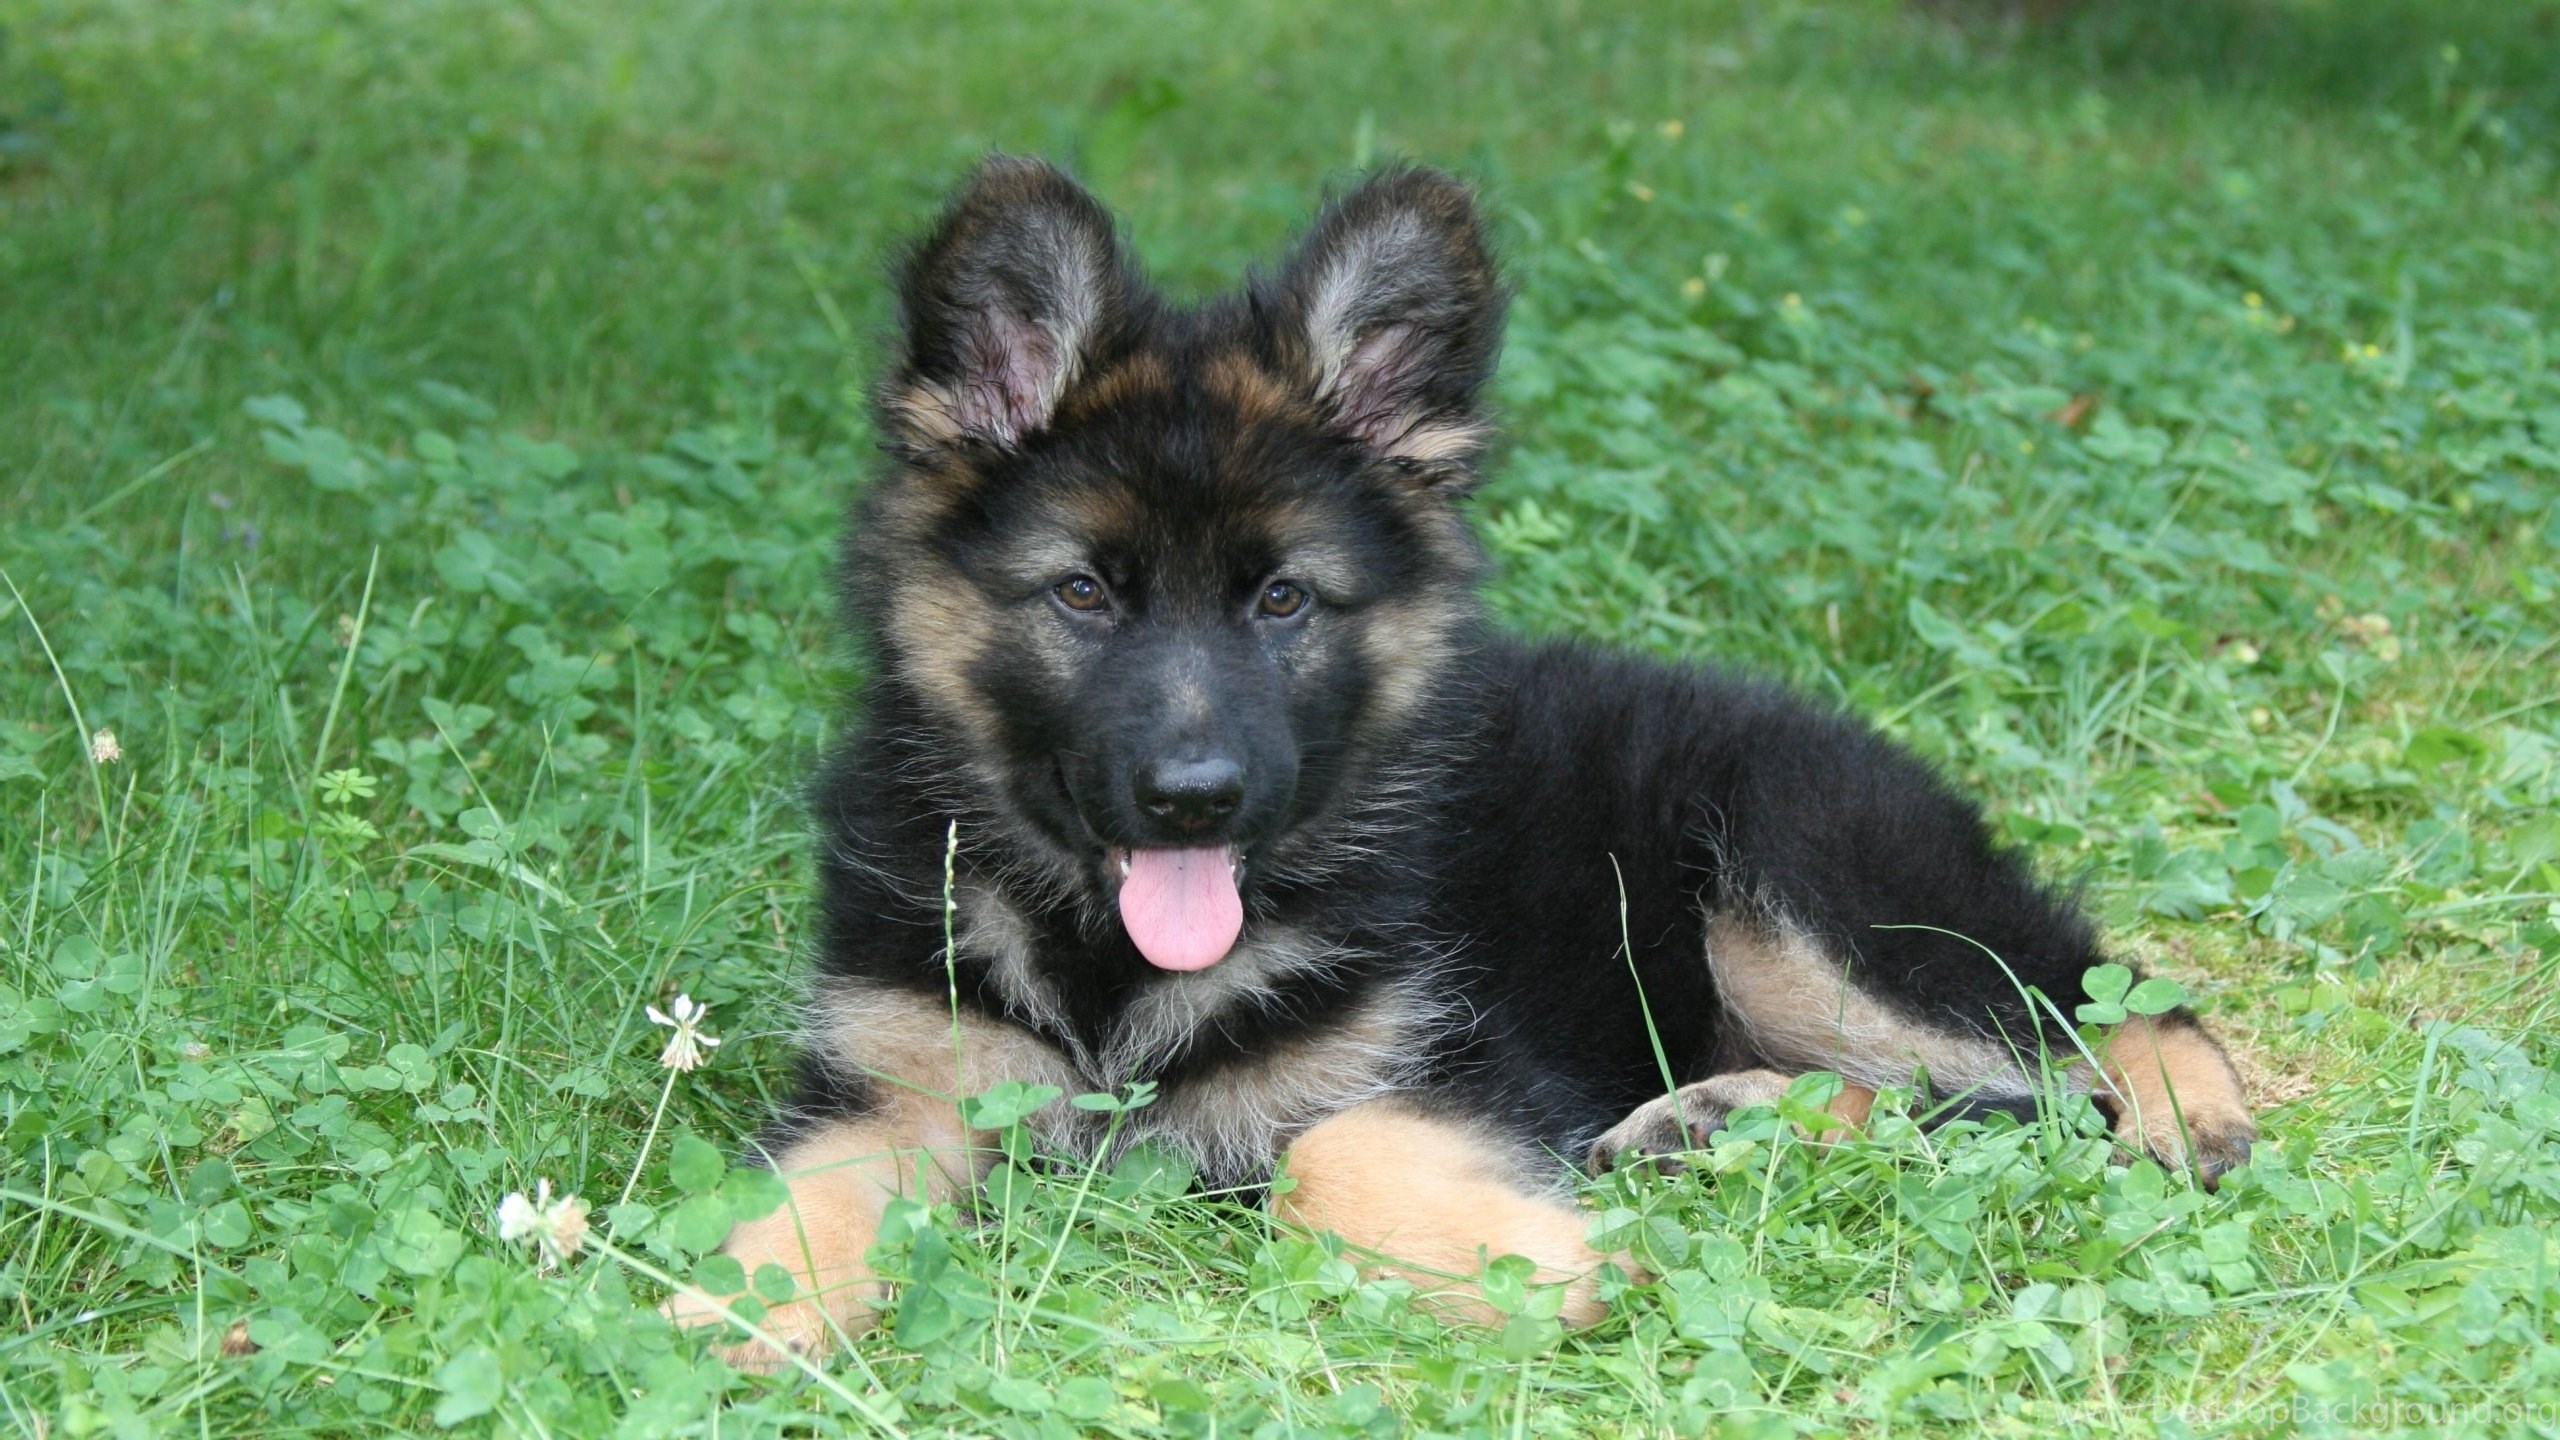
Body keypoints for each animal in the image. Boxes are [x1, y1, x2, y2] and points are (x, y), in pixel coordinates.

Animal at [670, 159, 2252, 1352]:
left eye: (1282, 601)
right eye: (1081, 595)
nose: (1195, 799)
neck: (1106, 962)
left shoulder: (1454, 1067)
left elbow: (1318, 1155)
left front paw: (1549, 1267)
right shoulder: (892, 1089)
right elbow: (809, 1198)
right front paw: (725, 1308)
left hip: (1804, 898)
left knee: (2095, 1034)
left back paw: (2183, 1115)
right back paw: (1718, 1120)